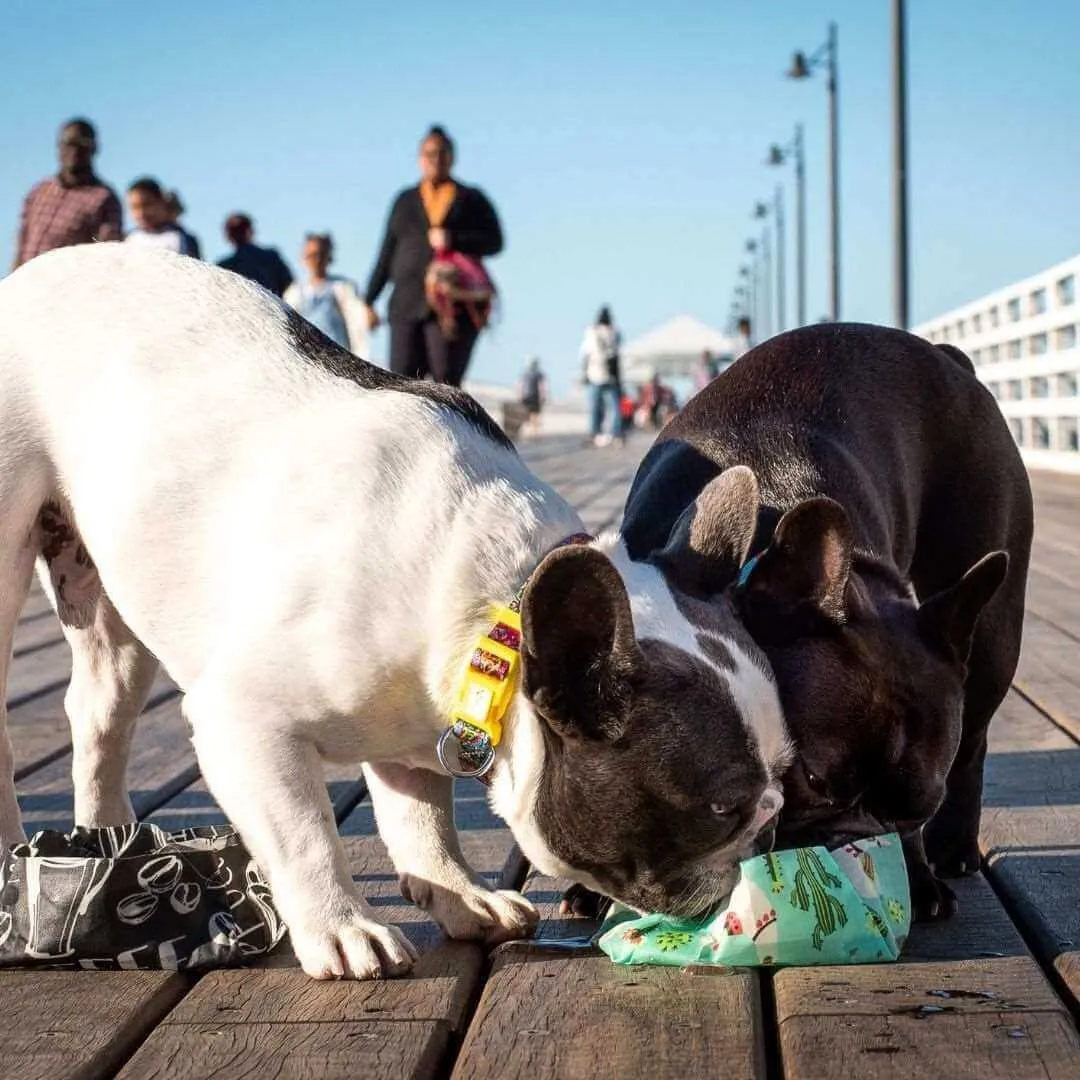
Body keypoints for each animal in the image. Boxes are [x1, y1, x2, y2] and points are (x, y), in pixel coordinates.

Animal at [0, 243, 794, 980]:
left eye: (786, 771)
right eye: (721, 807)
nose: (769, 825)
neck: (498, 613)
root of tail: (35, 271)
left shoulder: (416, 715)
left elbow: (422, 814)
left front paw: (459, 893)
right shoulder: (245, 724)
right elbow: (305, 831)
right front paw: (340, 926)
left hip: (107, 596)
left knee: (101, 713)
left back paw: (105, 841)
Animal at [613, 321, 1032, 920]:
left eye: (916, 811)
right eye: (813, 778)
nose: (858, 838)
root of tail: (949, 359)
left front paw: (918, 877)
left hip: (994, 631)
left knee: (973, 743)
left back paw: (953, 848)